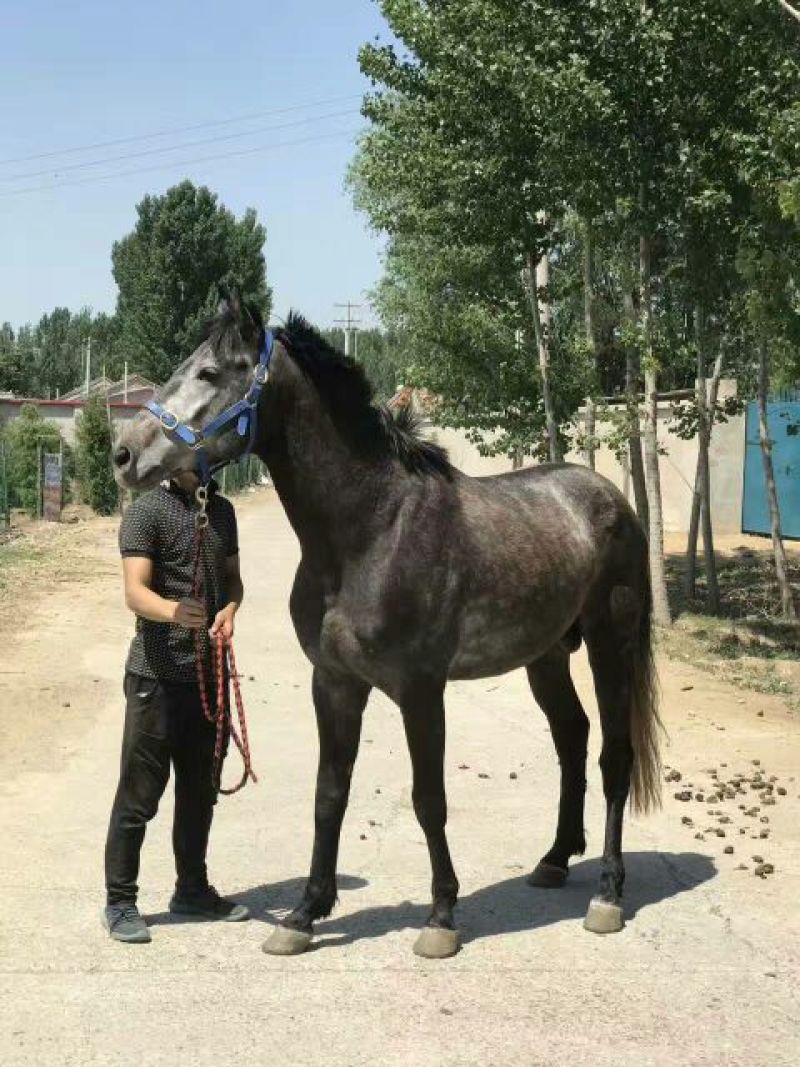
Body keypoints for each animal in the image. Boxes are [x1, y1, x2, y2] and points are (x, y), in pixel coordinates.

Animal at [112, 294, 662, 959]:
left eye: (211, 372)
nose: (124, 455)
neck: (372, 531)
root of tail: (612, 500)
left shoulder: (420, 690)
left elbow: (429, 799)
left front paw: (441, 917)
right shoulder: (335, 683)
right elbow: (329, 795)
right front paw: (304, 915)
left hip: (611, 644)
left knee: (614, 755)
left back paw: (607, 893)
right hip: (547, 655)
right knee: (571, 737)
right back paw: (555, 860)